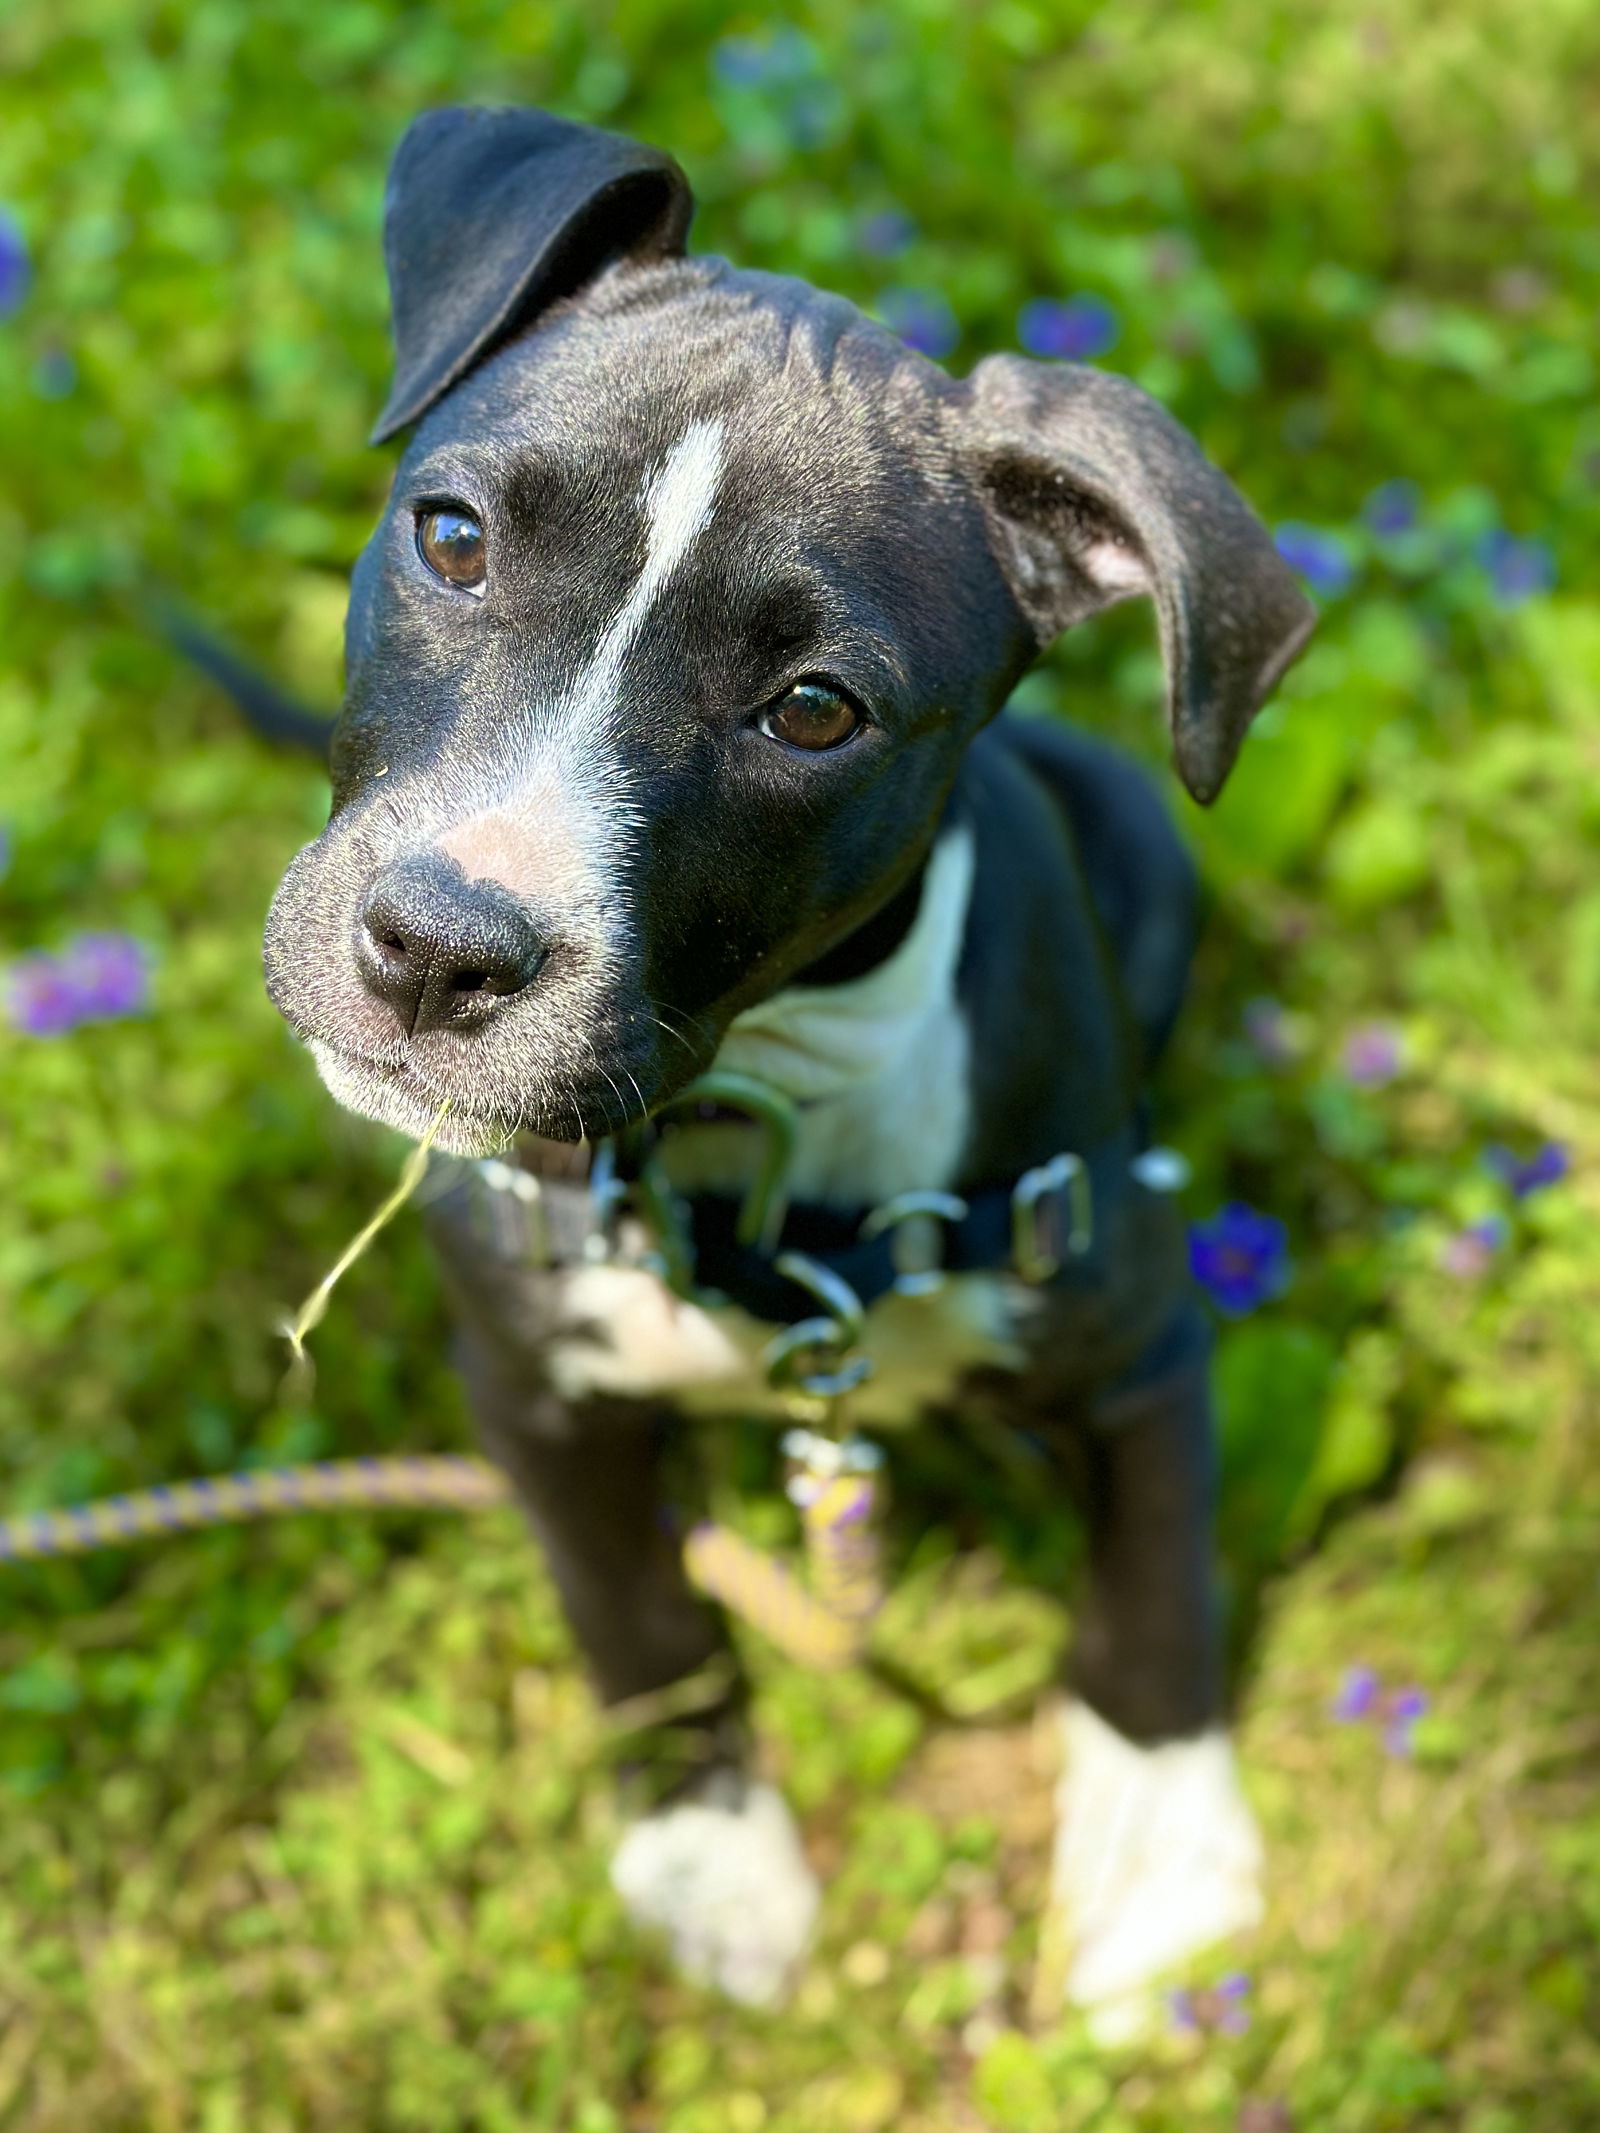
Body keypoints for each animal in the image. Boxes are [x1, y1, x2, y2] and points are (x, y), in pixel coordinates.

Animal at [263, 103, 1314, 2030]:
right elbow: (642, 1618)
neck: (745, 1124)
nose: (437, 949)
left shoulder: (1137, 1338)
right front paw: (713, 1858)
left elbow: (1154, 1597)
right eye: (450, 537)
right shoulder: (530, 1387)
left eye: (814, 710)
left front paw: (1165, 1878)